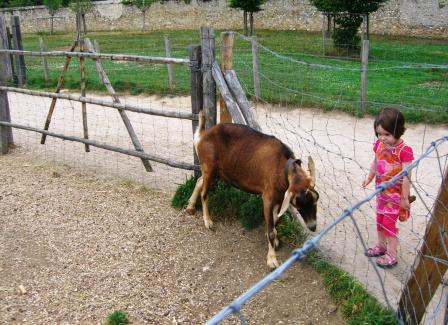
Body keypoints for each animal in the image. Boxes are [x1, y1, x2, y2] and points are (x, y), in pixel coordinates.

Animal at [186, 111, 318, 268]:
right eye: (297, 203)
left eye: (315, 200)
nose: (313, 227)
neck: (281, 166)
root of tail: (202, 135)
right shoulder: (267, 198)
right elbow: (271, 229)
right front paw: (272, 259)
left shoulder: (280, 198)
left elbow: (276, 221)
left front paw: (275, 241)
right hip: (209, 166)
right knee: (204, 193)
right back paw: (208, 222)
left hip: (212, 171)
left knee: (199, 181)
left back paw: (190, 207)